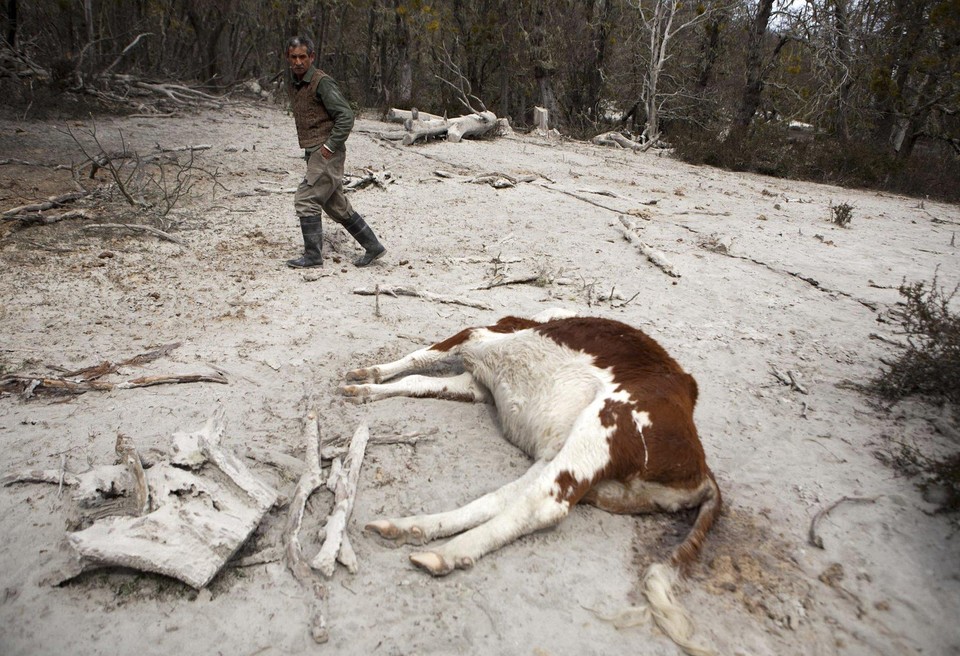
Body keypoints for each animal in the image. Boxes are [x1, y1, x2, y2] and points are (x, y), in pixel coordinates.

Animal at [344, 310, 720, 652]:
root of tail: (701, 469)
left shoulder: (477, 335)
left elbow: (421, 356)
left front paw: (365, 377)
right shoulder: (478, 384)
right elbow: (419, 381)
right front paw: (364, 388)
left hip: (604, 425)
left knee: (544, 505)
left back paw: (446, 552)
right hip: (570, 462)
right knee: (508, 497)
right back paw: (411, 528)